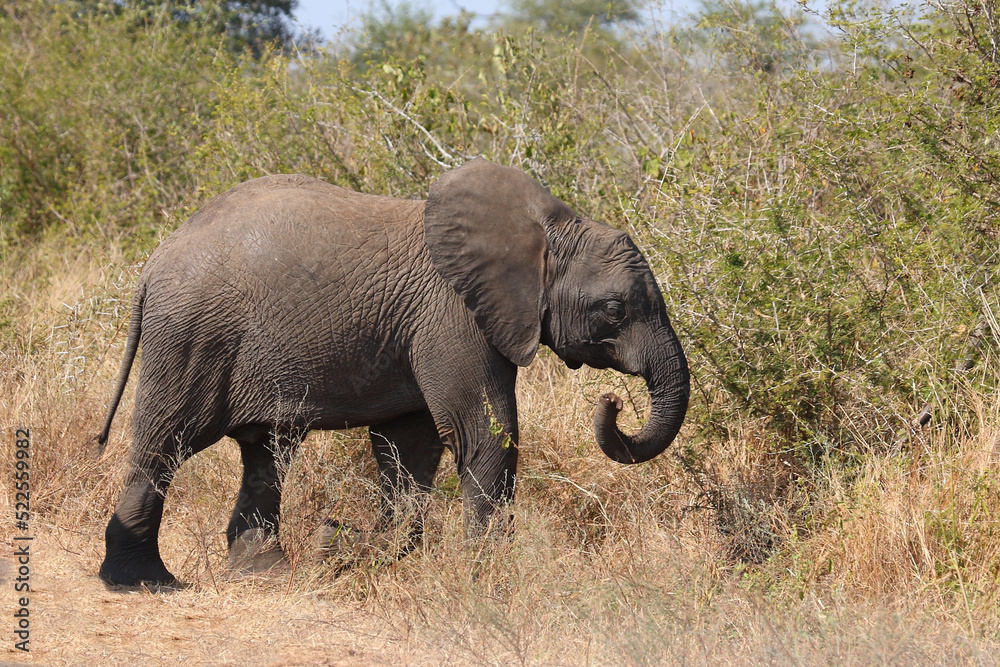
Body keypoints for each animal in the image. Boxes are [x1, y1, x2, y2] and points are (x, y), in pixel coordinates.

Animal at [97, 157, 692, 584]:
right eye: (615, 311)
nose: (613, 401)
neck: (548, 228)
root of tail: (153, 263)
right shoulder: (454, 316)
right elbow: (484, 431)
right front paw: (487, 580)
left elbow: (410, 450)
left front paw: (343, 547)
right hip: (193, 337)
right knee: (165, 443)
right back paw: (142, 582)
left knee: (265, 451)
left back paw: (264, 574)